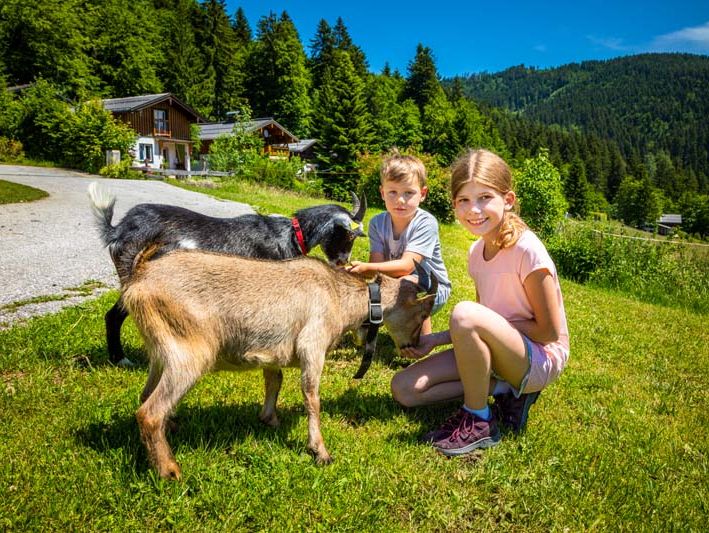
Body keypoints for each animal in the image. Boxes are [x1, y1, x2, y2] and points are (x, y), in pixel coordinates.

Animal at [85, 183, 368, 366]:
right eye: (348, 236)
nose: (343, 262)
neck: (290, 234)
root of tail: (119, 229)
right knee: (114, 316)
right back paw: (121, 360)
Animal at [123, 246, 436, 478]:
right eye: (422, 314)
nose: (413, 346)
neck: (337, 296)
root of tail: (141, 278)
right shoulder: (313, 346)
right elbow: (312, 397)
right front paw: (320, 452)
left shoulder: (272, 352)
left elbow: (275, 380)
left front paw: (269, 418)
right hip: (189, 354)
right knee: (149, 413)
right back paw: (169, 470)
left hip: (161, 353)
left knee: (145, 394)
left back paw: (171, 428)